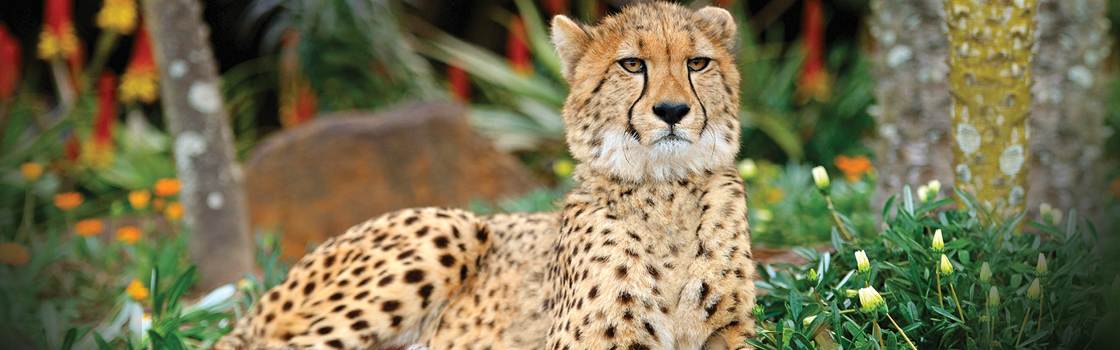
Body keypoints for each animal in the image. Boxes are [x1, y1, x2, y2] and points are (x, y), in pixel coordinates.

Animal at [213, 2, 757, 347]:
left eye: (697, 62)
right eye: (631, 64)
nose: (672, 111)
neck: (666, 191)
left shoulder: (734, 334)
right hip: (452, 227)